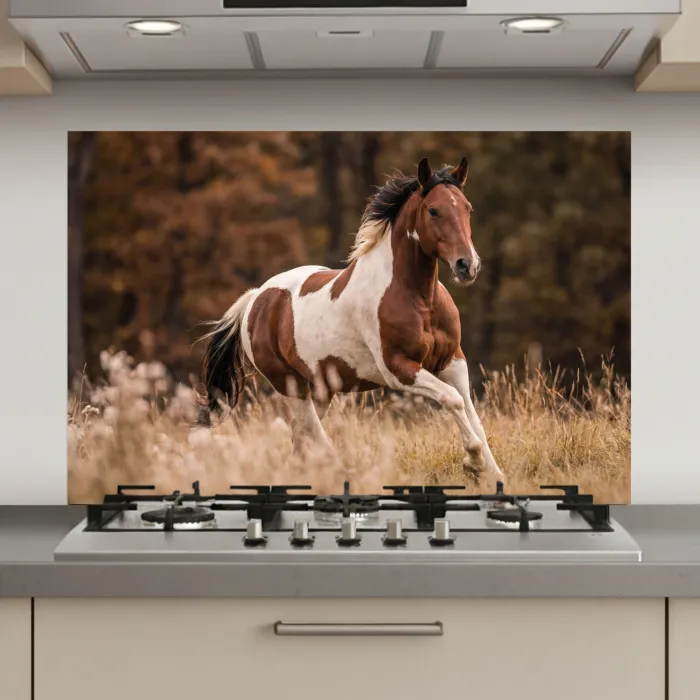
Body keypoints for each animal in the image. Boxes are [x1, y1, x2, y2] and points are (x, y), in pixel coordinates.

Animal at [200, 156, 504, 483]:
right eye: (433, 210)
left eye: (467, 208)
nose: (467, 266)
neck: (420, 298)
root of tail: (256, 298)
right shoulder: (399, 369)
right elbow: (453, 400)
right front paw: (473, 462)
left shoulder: (452, 361)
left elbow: (473, 415)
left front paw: (494, 474)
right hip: (290, 385)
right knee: (313, 435)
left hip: (321, 388)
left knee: (301, 437)